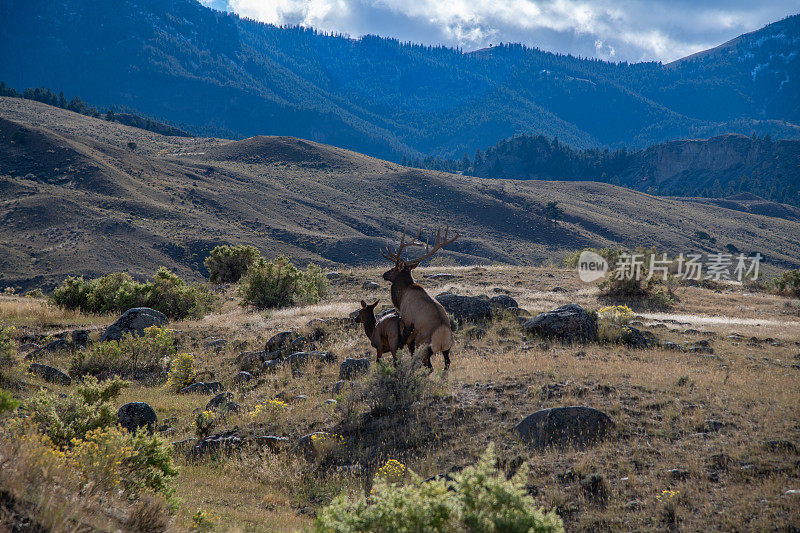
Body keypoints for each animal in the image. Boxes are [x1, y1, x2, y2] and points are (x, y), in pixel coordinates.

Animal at [382, 224, 460, 370]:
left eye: (393, 268)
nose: (384, 274)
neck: (401, 295)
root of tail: (441, 338)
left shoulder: (408, 320)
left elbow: (402, 343)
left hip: (423, 345)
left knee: (429, 366)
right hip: (447, 349)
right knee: (447, 363)